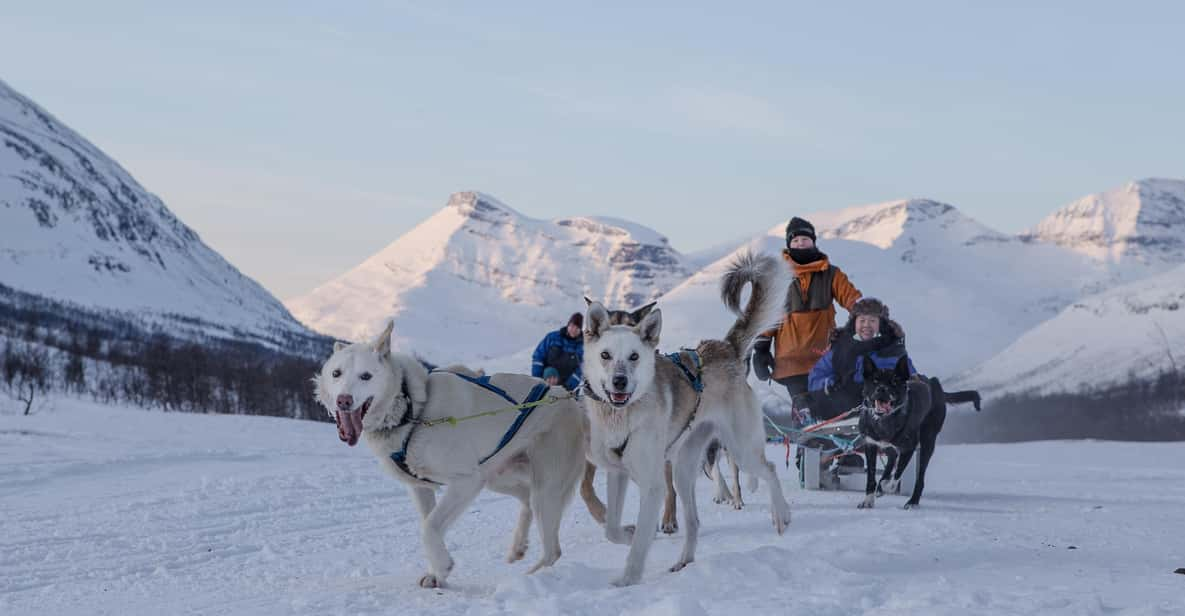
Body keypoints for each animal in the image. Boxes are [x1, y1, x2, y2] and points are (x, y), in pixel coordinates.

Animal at [853, 355, 981, 509]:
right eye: (875, 380)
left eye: (894, 381)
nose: (881, 389)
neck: (884, 421)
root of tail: (934, 383)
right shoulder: (871, 445)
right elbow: (871, 476)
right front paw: (868, 500)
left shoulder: (909, 448)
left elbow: (898, 474)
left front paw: (887, 486)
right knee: (892, 458)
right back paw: (883, 483)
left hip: (927, 442)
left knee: (919, 477)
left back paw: (912, 501)